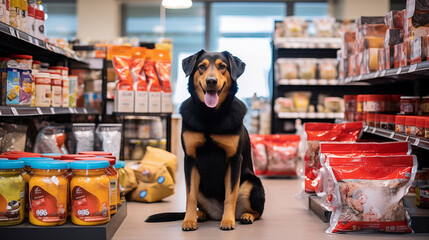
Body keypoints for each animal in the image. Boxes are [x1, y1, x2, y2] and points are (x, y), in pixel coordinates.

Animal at [145, 50, 262, 231]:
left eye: (222, 66)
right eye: (201, 66)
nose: (211, 81)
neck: (210, 115)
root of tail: (217, 212)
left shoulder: (234, 160)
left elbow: (230, 195)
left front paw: (228, 221)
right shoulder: (190, 159)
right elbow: (190, 196)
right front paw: (188, 220)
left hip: (252, 183)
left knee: (256, 211)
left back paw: (246, 216)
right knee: (200, 203)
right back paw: (200, 215)